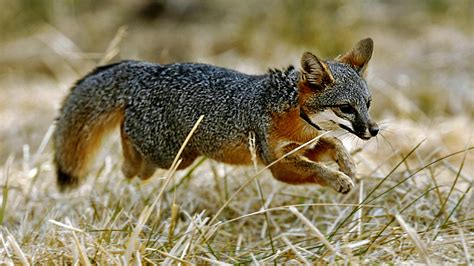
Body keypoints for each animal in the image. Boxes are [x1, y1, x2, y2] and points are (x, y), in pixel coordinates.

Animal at [52, 37, 378, 194]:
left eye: (368, 104)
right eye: (346, 108)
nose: (374, 131)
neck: (295, 117)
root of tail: (148, 71)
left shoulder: (305, 145)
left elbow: (334, 143)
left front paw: (349, 166)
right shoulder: (276, 163)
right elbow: (315, 168)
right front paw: (338, 179)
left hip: (178, 159)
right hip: (171, 157)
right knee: (130, 152)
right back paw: (124, 167)